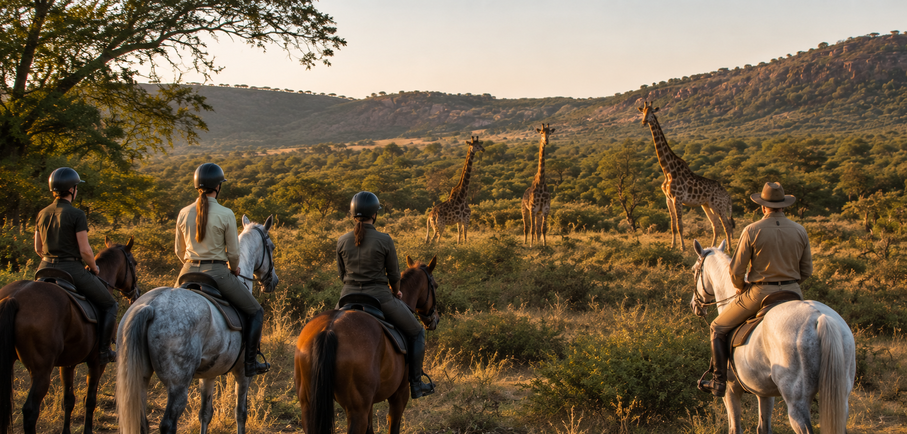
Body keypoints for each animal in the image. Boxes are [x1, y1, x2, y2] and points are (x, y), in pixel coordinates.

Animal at [0, 236, 140, 434]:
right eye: (134, 263)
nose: (136, 293)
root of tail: (13, 297)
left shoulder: (67, 364)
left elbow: (68, 400)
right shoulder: (97, 363)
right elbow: (90, 400)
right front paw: (87, 430)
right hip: (41, 372)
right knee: (30, 410)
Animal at [116, 215, 278, 434]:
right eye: (271, 247)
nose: (273, 281)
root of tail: (151, 306)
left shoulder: (209, 374)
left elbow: (205, 414)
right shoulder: (243, 373)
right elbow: (241, 413)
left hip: (140, 378)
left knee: (142, 422)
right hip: (178, 384)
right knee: (168, 424)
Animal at [295, 255, 440, 434]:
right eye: (435, 286)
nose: (435, 319)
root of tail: (329, 329)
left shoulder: (369, 403)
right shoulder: (400, 394)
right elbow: (394, 426)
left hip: (309, 406)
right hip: (357, 410)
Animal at [690, 239, 855, 434]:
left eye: (693, 271)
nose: (694, 305)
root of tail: (819, 317)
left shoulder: (731, 391)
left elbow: (735, 428)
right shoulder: (764, 392)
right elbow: (763, 427)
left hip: (796, 404)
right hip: (841, 398)